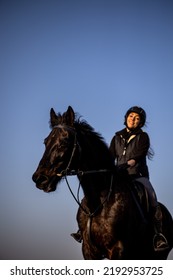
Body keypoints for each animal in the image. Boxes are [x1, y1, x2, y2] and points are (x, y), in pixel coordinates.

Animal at [32, 106, 173, 260]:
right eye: (45, 142)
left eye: (64, 142)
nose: (39, 179)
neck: (98, 202)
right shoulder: (88, 250)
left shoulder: (118, 250)